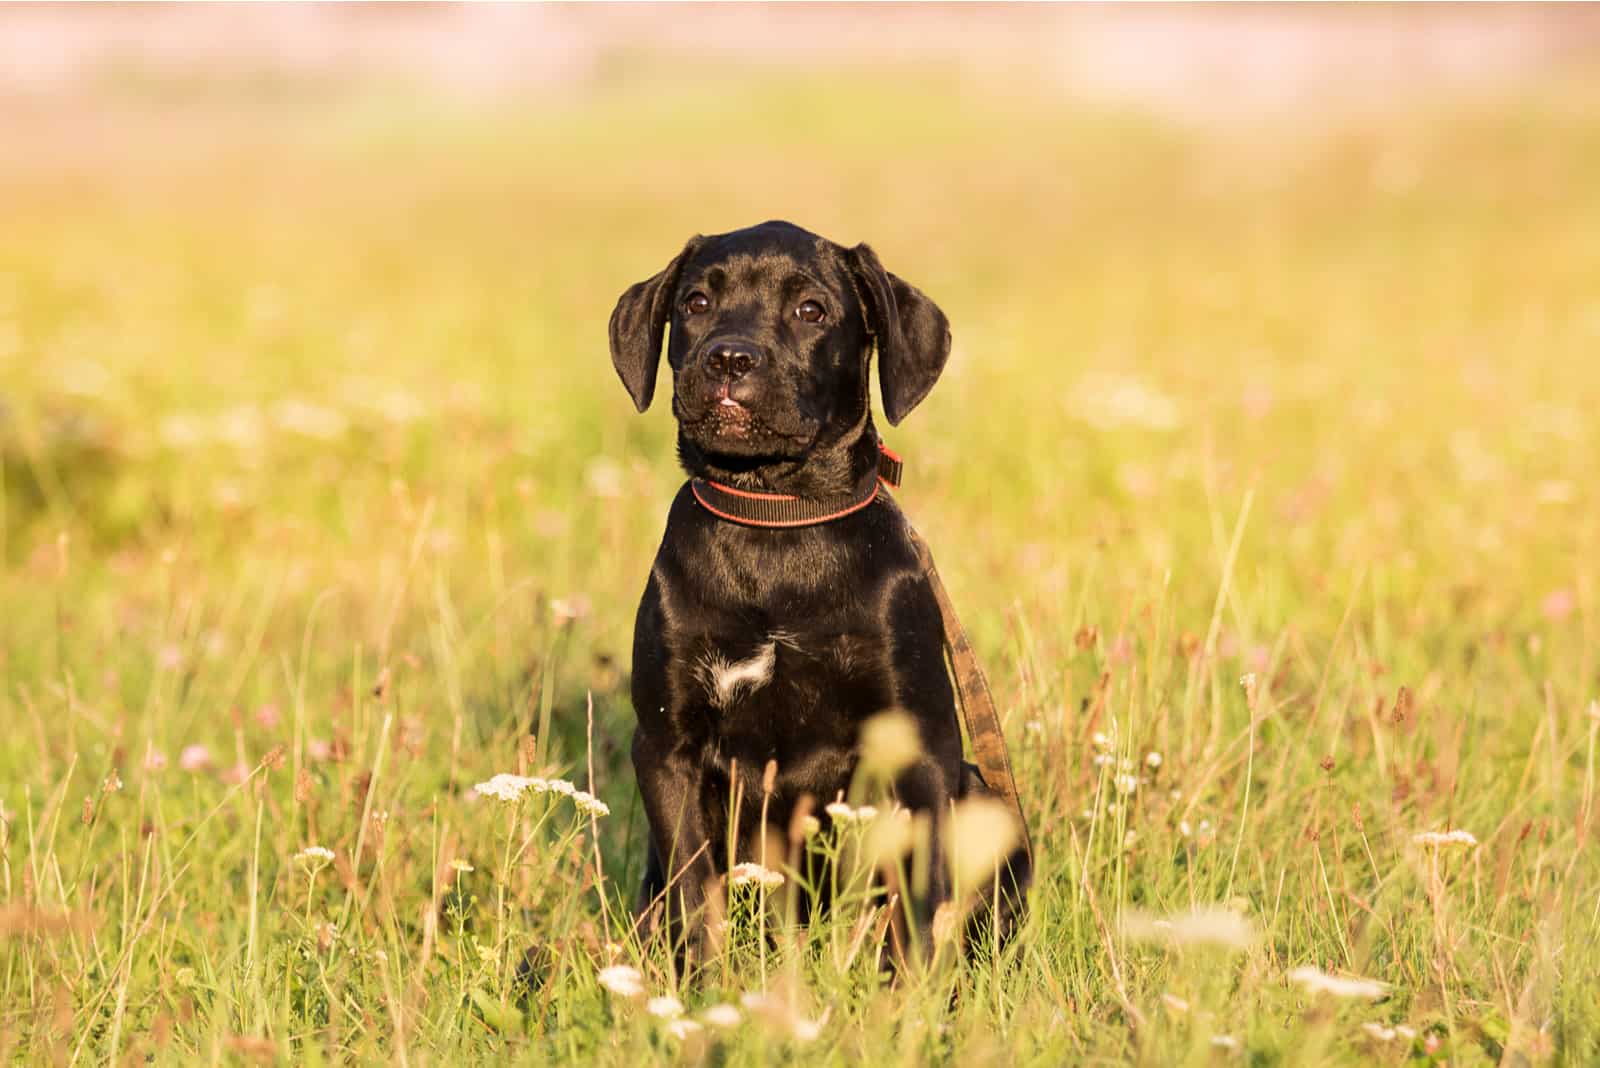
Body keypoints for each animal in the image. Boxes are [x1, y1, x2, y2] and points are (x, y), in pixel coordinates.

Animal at [611, 219, 1024, 965]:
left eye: (811, 311)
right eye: (695, 303)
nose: (729, 359)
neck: (777, 517)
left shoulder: (919, 744)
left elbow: (918, 896)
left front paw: (916, 990)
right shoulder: (665, 744)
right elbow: (694, 894)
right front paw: (703, 988)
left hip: (981, 793)